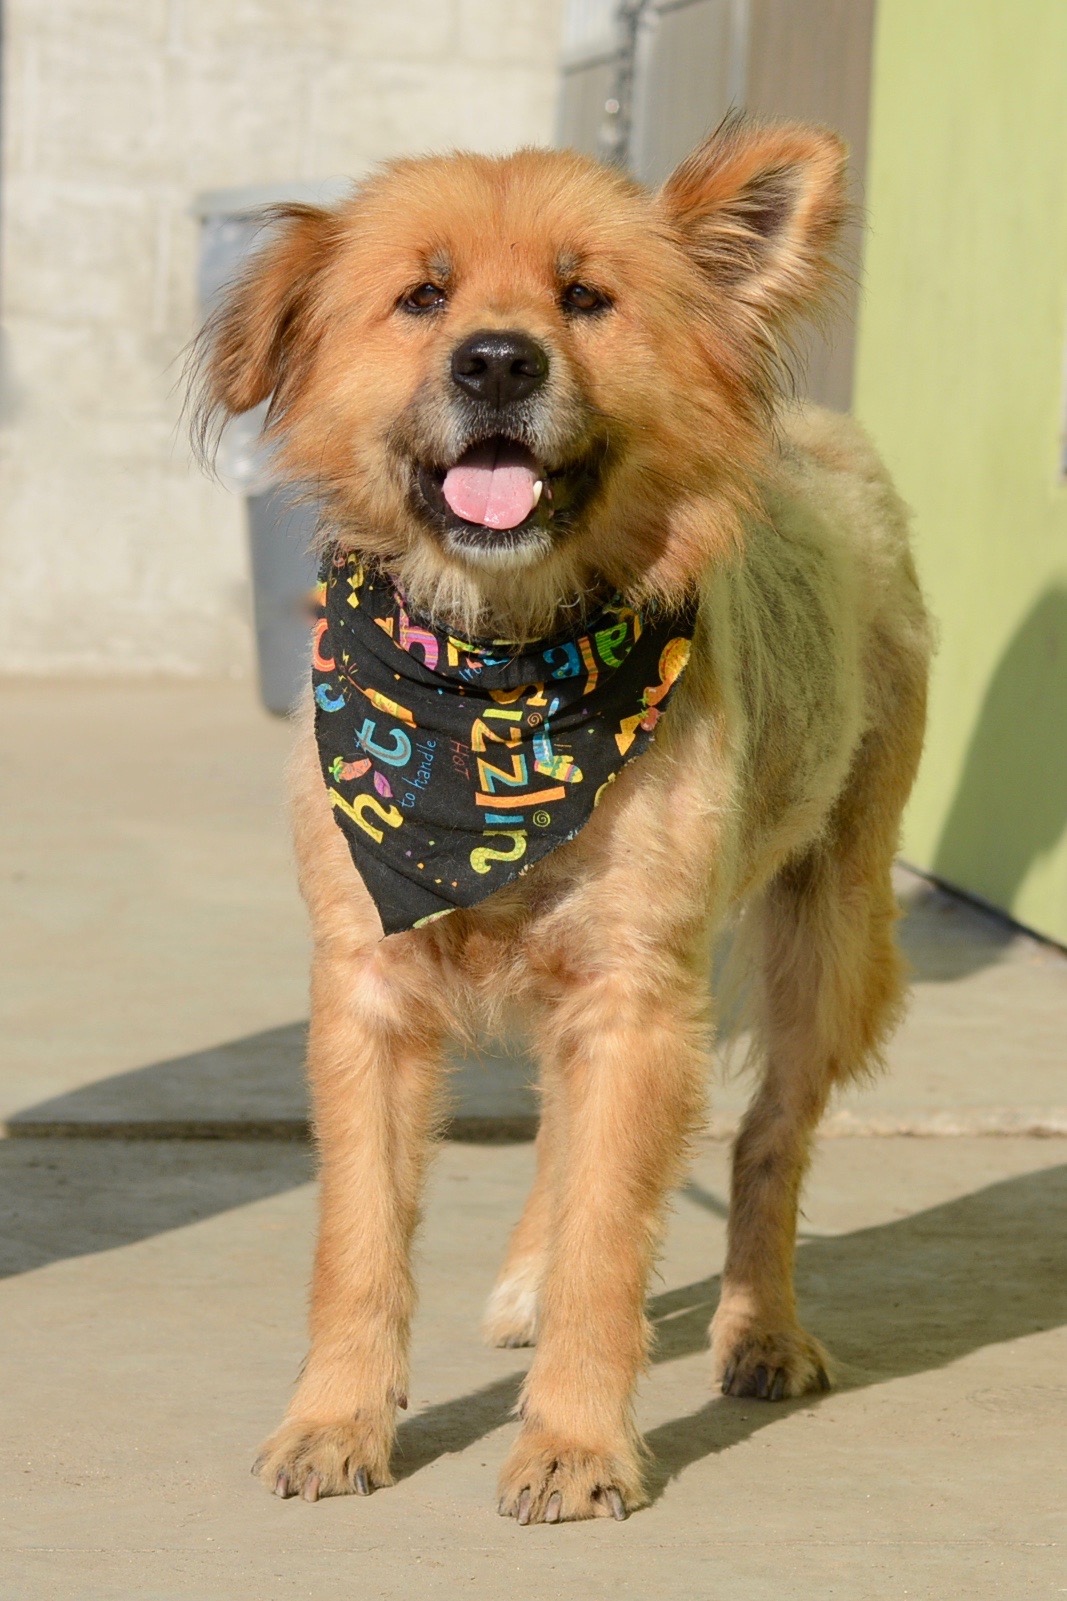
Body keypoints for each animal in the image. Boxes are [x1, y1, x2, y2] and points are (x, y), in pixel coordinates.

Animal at [195, 116, 929, 1524]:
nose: (496, 359)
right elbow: (359, 1242)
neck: (492, 673)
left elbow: (611, 1242)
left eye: (585, 297)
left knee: (767, 1138)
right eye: (422, 297)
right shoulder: (365, 989)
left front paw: (575, 1443)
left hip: (829, 938)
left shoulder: (635, 993)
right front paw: (335, 1419)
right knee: (563, 1131)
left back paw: (760, 1327)